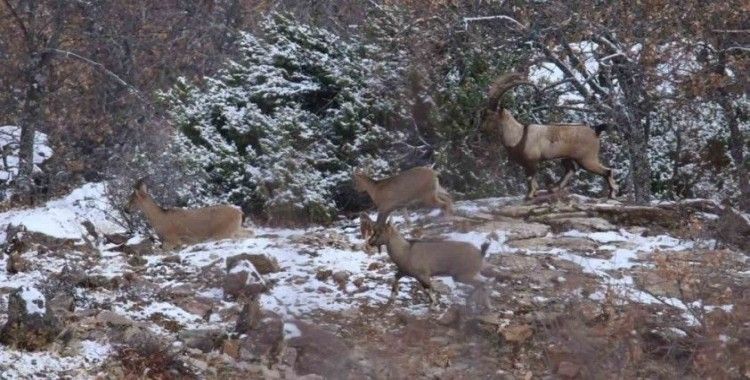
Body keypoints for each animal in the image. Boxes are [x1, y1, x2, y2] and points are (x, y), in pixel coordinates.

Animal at [484, 72, 620, 200]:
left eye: (490, 116)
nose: (482, 128)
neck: (518, 135)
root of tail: (595, 132)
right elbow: (530, 178)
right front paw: (533, 193)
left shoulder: (531, 161)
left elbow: (530, 178)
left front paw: (530, 195)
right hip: (568, 157)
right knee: (571, 169)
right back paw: (553, 188)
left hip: (587, 158)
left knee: (607, 171)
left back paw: (612, 194)